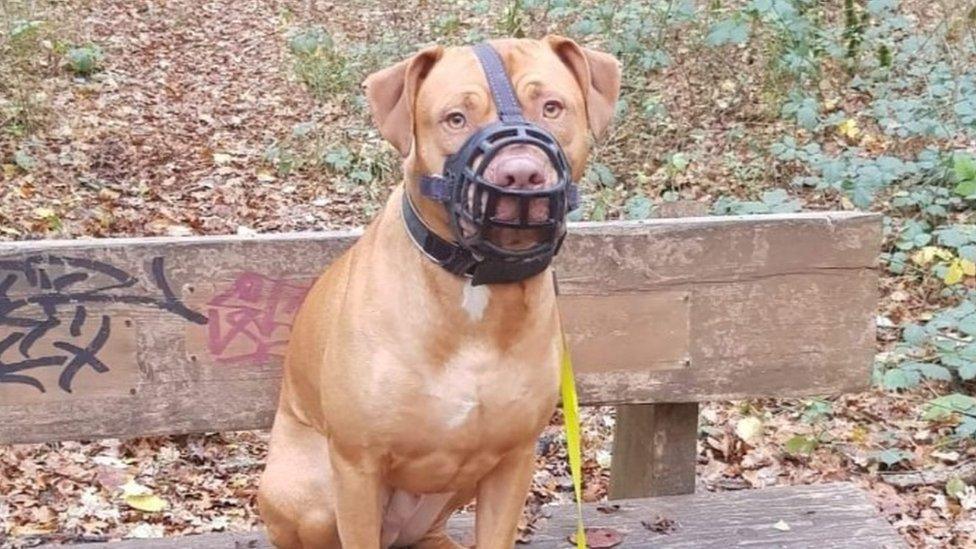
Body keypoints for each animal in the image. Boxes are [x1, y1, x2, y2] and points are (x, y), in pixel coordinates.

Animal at [260, 35, 620, 548]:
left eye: (552, 107)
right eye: (455, 118)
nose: (521, 175)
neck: (475, 287)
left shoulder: (513, 461)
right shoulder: (357, 467)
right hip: (309, 492)